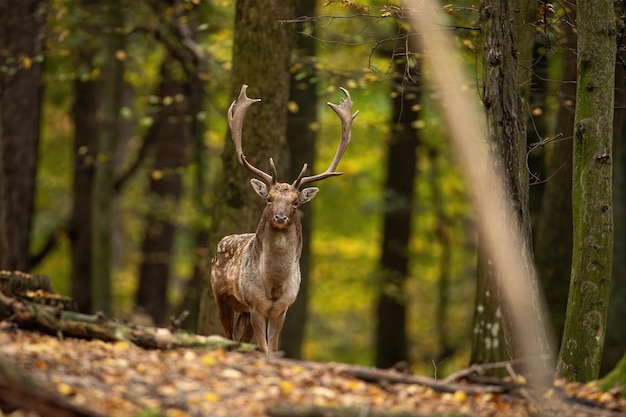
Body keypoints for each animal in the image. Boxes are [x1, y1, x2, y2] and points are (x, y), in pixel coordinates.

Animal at [210, 85, 356, 354]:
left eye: (296, 202)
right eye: (269, 198)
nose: (280, 216)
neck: (275, 285)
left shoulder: (282, 309)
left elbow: (273, 348)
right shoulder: (255, 305)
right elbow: (264, 347)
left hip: (242, 312)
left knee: (241, 338)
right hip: (222, 297)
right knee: (228, 335)